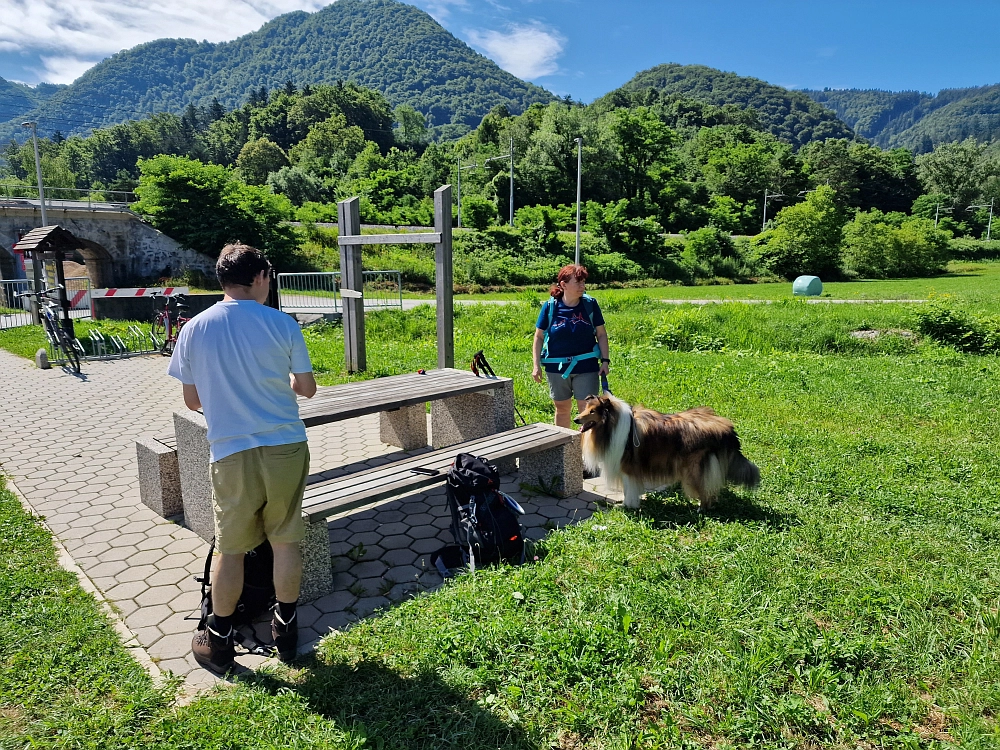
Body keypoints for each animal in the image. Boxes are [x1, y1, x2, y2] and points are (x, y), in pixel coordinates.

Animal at [580, 394, 756, 512]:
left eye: (593, 411)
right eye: (586, 409)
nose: (576, 419)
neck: (612, 425)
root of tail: (727, 429)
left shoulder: (628, 468)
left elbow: (629, 490)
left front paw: (627, 505)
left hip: (695, 469)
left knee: (706, 490)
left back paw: (701, 508)